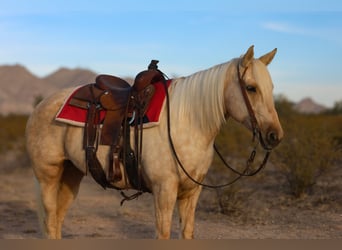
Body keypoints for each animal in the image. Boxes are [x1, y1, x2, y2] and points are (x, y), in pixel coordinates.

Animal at [26, 46, 284, 239]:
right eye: (251, 88)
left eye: (271, 88)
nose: (275, 136)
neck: (188, 121)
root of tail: (41, 105)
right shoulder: (164, 191)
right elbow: (164, 234)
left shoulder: (192, 193)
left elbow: (187, 233)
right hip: (48, 175)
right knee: (50, 219)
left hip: (71, 174)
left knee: (57, 219)